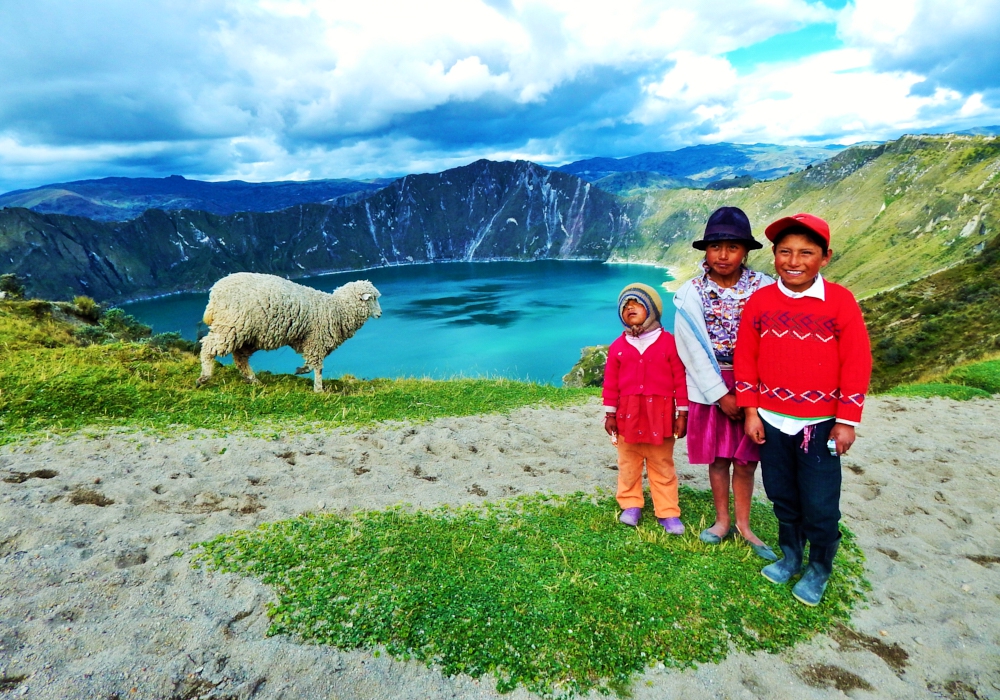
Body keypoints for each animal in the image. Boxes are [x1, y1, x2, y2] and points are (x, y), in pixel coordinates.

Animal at [196, 272, 382, 394]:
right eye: (372, 298)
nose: (380, 314)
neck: (337, 309)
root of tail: (215, 291)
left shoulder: (308, 341)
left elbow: (311, 364)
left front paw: (302, 370)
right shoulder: (316, 340)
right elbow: (318, 367)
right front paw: (319, 388)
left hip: (249, 335)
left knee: (240, 357)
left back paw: (253, 380)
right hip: (231, 325)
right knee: (208, 347)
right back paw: (204, 377)